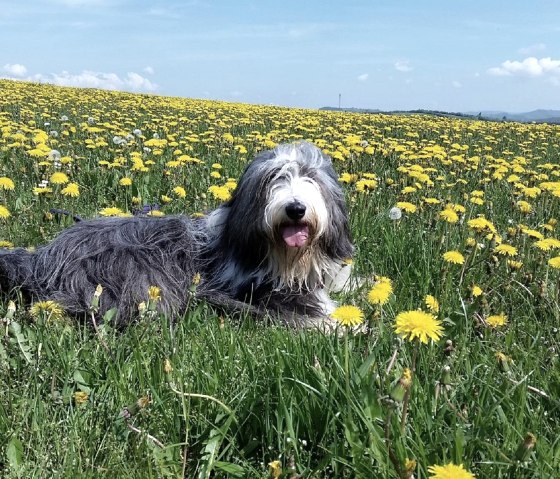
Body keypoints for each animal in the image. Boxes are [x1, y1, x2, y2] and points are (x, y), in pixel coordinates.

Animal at [1, 142, 354, 330]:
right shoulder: (244, 291)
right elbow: (306, 312)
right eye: (274, 179)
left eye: (310, 177)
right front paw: (345, 325)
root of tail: (43, 257)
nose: (295, 208)